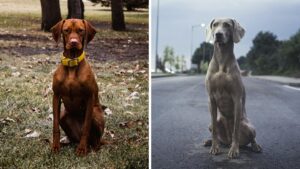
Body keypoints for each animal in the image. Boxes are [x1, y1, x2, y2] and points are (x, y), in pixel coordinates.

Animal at [50, 18, 104, 156]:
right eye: (66, 30)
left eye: (81, 30)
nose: (73, 42)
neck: (72, 63)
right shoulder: (56, 96)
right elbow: (55, 125)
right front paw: (55, 146)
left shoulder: (89, 97)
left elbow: (86, 127)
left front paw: (82, 149)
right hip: (64, 116)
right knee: (73, 137)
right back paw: (67, 143)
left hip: (95, 113)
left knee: (95, 141)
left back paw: (90, 148)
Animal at [205, 18, 262, 158]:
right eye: (215, 25)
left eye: (227, 25)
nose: (218, 35)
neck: (221, 61)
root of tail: (227, 141)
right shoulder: (211, 99)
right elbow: (214, 129)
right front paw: (214, 147)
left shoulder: (237, 99)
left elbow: (235, 129)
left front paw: (234, 150)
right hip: (213, 124)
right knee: (216, 131)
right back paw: (211, 142)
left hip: (250, 127)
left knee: (251, 137)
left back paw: (255, 146)